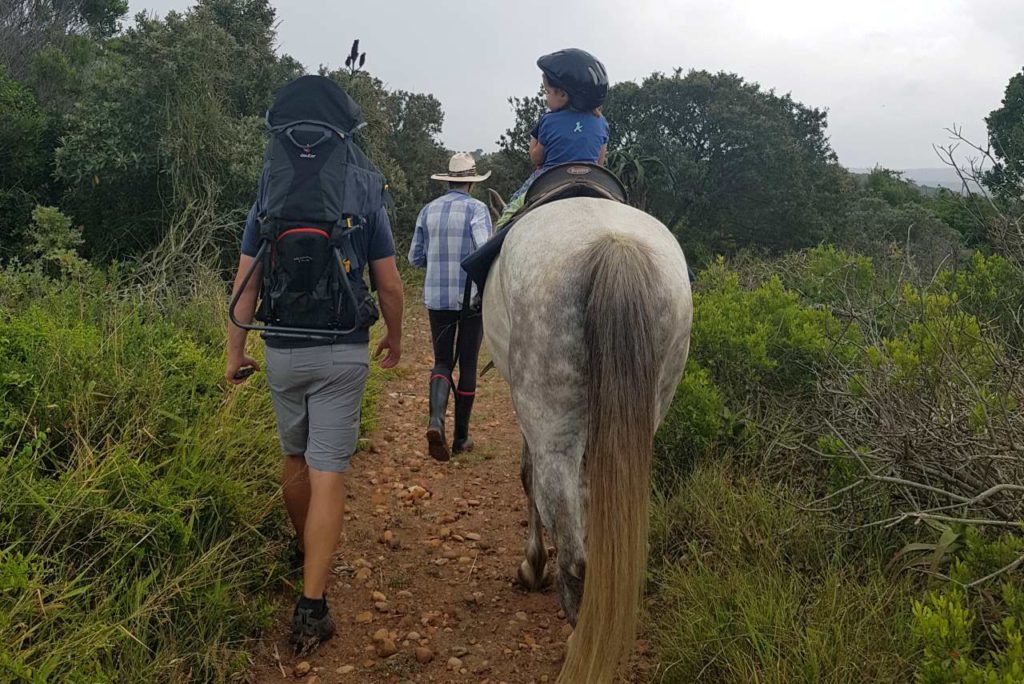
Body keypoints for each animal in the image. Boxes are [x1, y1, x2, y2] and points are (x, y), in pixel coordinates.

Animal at [481, 194, 692, 679]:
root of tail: (614, 246)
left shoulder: (534, 425)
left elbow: (526, 477)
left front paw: (532, 566)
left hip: (553, 426)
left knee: (574, 555)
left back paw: (579, 640)